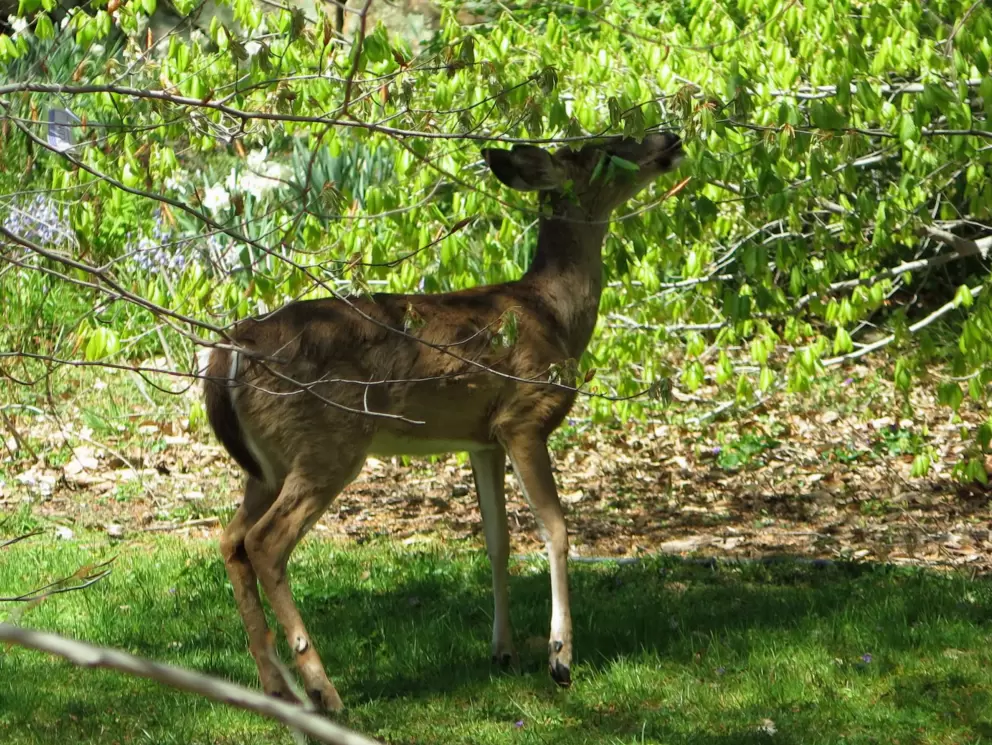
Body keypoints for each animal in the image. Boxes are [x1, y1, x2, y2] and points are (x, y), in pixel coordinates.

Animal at [203, 130, 684, 712]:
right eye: (609, 146)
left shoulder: (482, 439)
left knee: (231, 541)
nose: (671, 137)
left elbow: (497, 540)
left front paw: (503, 652)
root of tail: (229, 349)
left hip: (268, 462)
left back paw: (277, 688)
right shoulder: (524, 416)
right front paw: (560, 657)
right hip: (328, 444)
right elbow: (555, 527)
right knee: (265, 542)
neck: (553, 312)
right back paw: (323, 690)